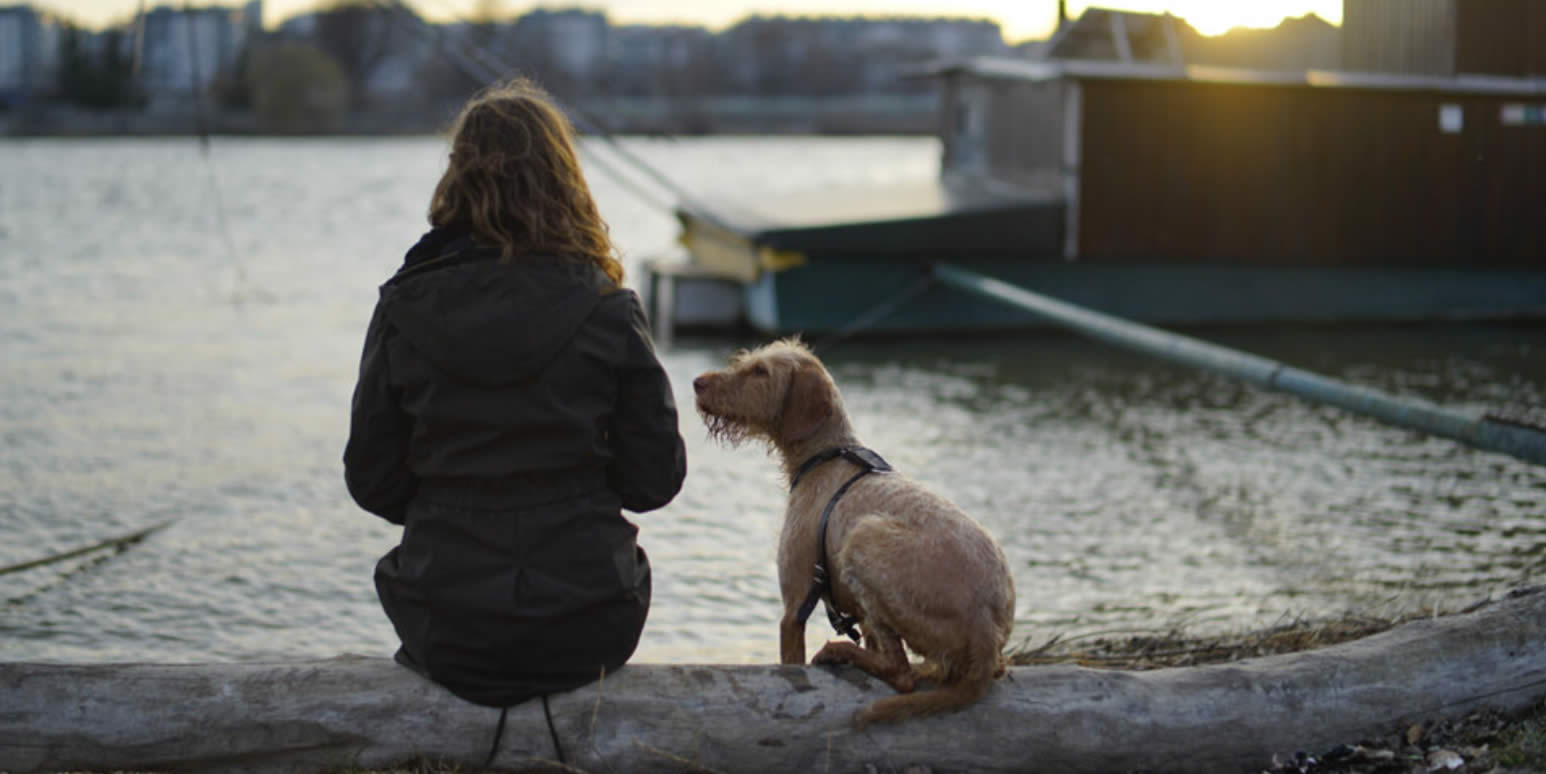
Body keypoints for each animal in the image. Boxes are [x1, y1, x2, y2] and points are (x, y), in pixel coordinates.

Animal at [698, 338, 1014, 723]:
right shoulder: (860, 619)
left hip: (863, 541)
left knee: (901, 673)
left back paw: (842, 653)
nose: (698, 383)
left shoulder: (794, 607)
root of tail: (985, 629)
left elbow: (791, 661)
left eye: (760, 371)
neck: (826, 455)